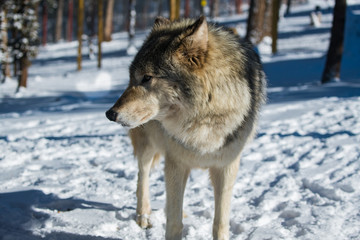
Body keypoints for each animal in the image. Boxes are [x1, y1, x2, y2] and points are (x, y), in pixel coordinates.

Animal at [105, 15, 266, 239]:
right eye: (131, 78)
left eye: (147, 77)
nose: (110, 114)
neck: (203, 123)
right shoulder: (176, 164)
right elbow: (174, 222)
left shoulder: (227, 167)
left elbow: (220, 223)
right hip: (148, 146)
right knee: (142, 176)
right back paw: (143, 216)